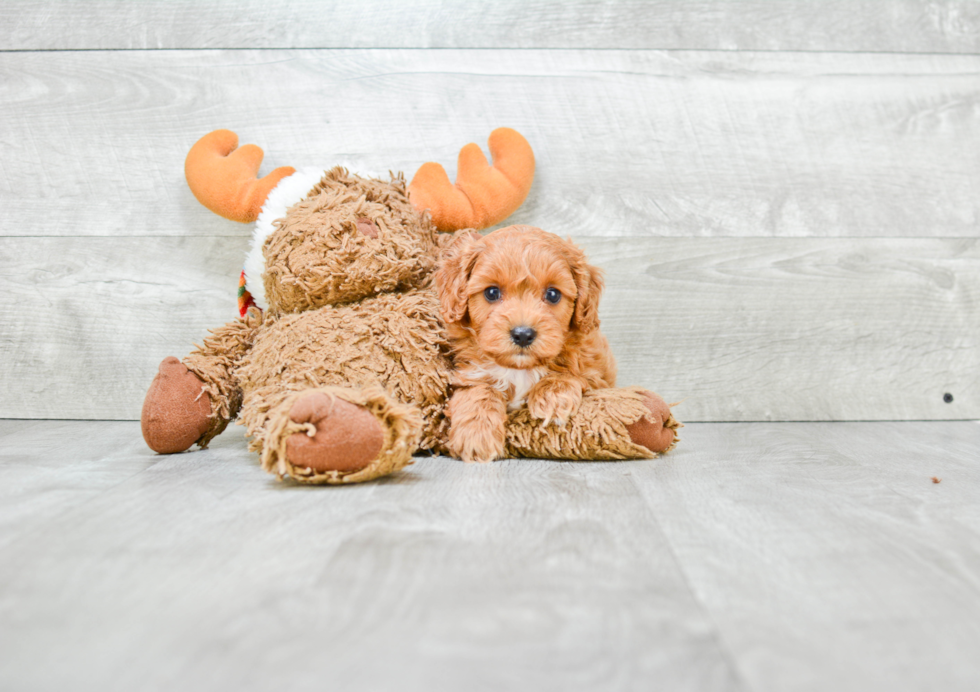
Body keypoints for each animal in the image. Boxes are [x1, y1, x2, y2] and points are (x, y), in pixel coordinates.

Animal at [434, 227, 612, 462]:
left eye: (553, 294)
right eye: (492, 292)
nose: (523, 334)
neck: (519, 369)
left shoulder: (597, 374)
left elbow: (570, 373)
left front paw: (553, 397)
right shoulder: (469, 374)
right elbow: (478, 391)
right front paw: (476, 434)